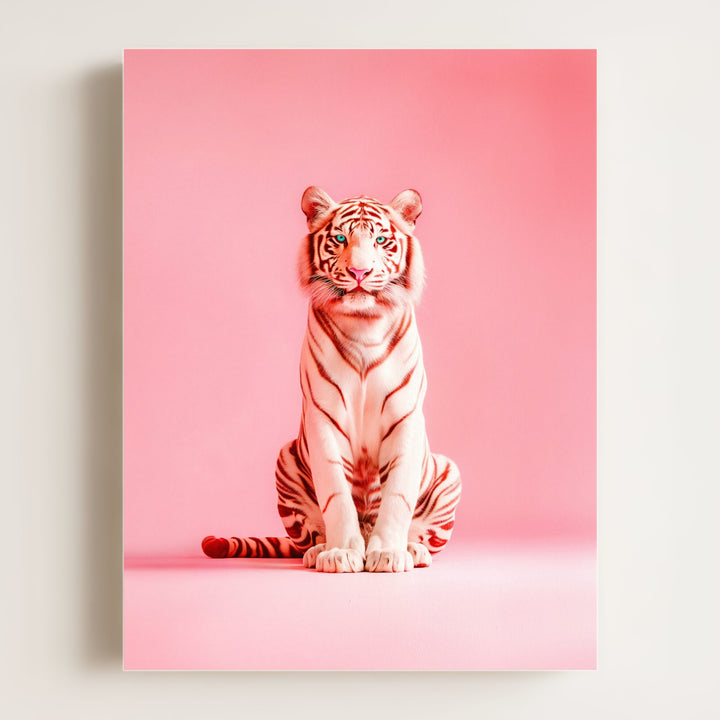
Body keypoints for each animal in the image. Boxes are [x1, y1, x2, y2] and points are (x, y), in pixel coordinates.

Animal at [202, 186, 461, 572]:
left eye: (381, 240)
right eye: (340, 239)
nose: (359, 271)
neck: (365, 323)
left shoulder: (405, 417)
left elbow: (398, 493)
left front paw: (389, 552)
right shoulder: (323, 415)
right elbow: (335, 493)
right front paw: (340, 553)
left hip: (448, 469)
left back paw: (413, 550)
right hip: (285, 460)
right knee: (307, 538)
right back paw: (319, 551)